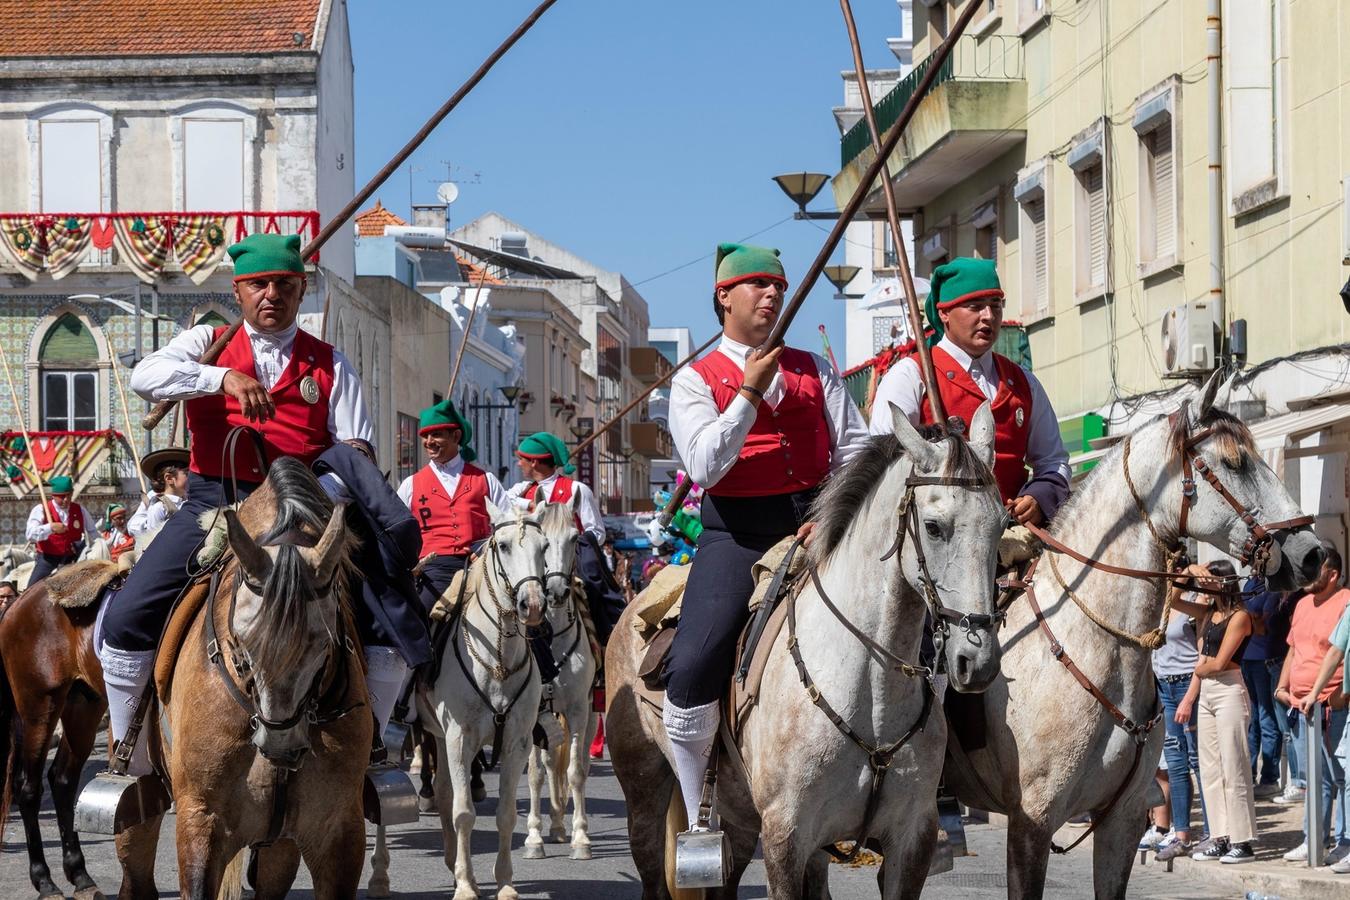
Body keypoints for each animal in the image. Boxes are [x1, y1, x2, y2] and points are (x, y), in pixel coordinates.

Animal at [0, 558, 114, 895]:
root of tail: (20, 601)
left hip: (83, 704)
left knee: (62, 779)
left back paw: (80, 875)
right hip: (40, 706)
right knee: (28, 788)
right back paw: (44, 880)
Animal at [111, 461, 372, 895]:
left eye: (325, 642)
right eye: (242, 642)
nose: (281, 744)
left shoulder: (339, 832)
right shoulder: (201, 821)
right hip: (142, 799)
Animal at [612, 407, 1015, 900]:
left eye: (1001, 524)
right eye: (935, 527)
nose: (977, 661)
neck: (870, 689)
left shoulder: (911, 840)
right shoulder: (785, 838)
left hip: (744, 818)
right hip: (644, 789)